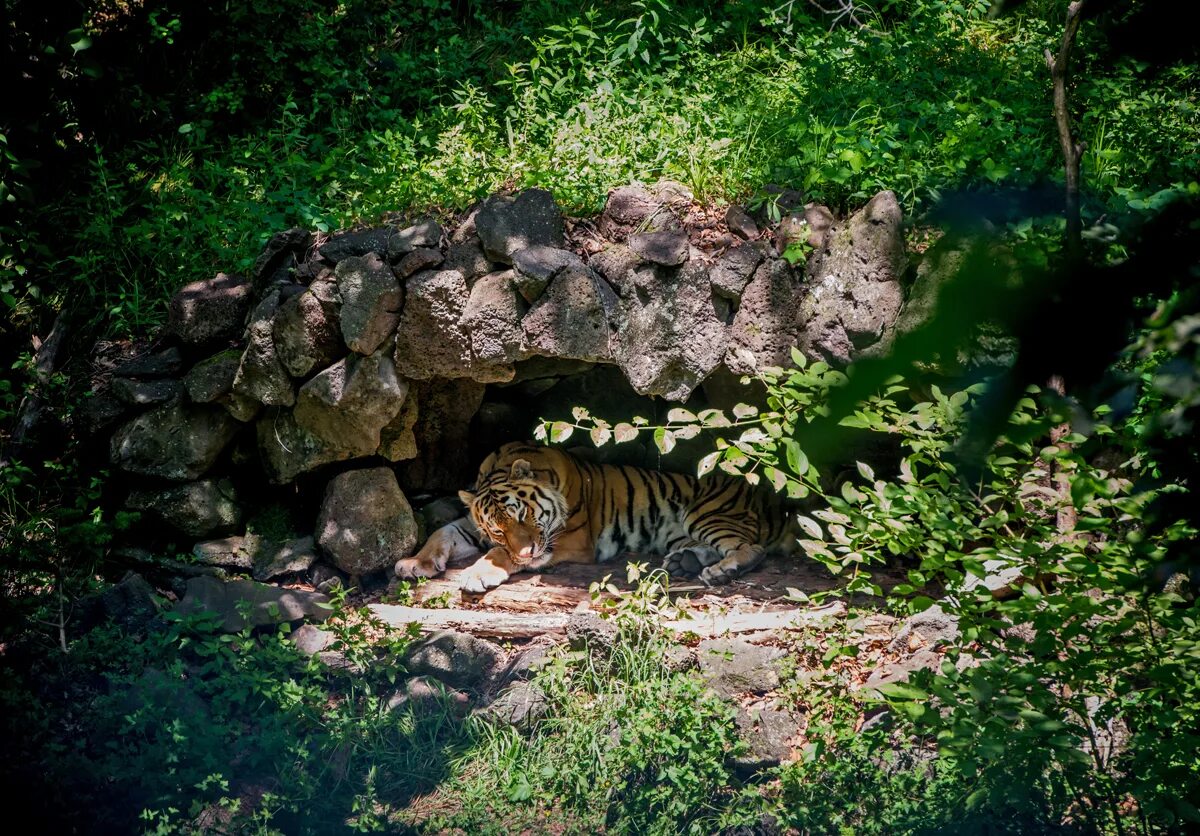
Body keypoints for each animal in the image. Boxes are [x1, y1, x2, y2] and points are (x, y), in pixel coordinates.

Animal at [398, 441, 801, 590]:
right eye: (497, 529)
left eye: (524, 515)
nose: (527, 551)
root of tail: (770, 498)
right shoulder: (473, 527)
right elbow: (442, 533)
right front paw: (415, 563)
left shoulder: (569, 540)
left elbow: (500, 557)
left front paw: (478, 574)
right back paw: (685, 562)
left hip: (706, 514)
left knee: (752, 548)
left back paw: (722, 571)